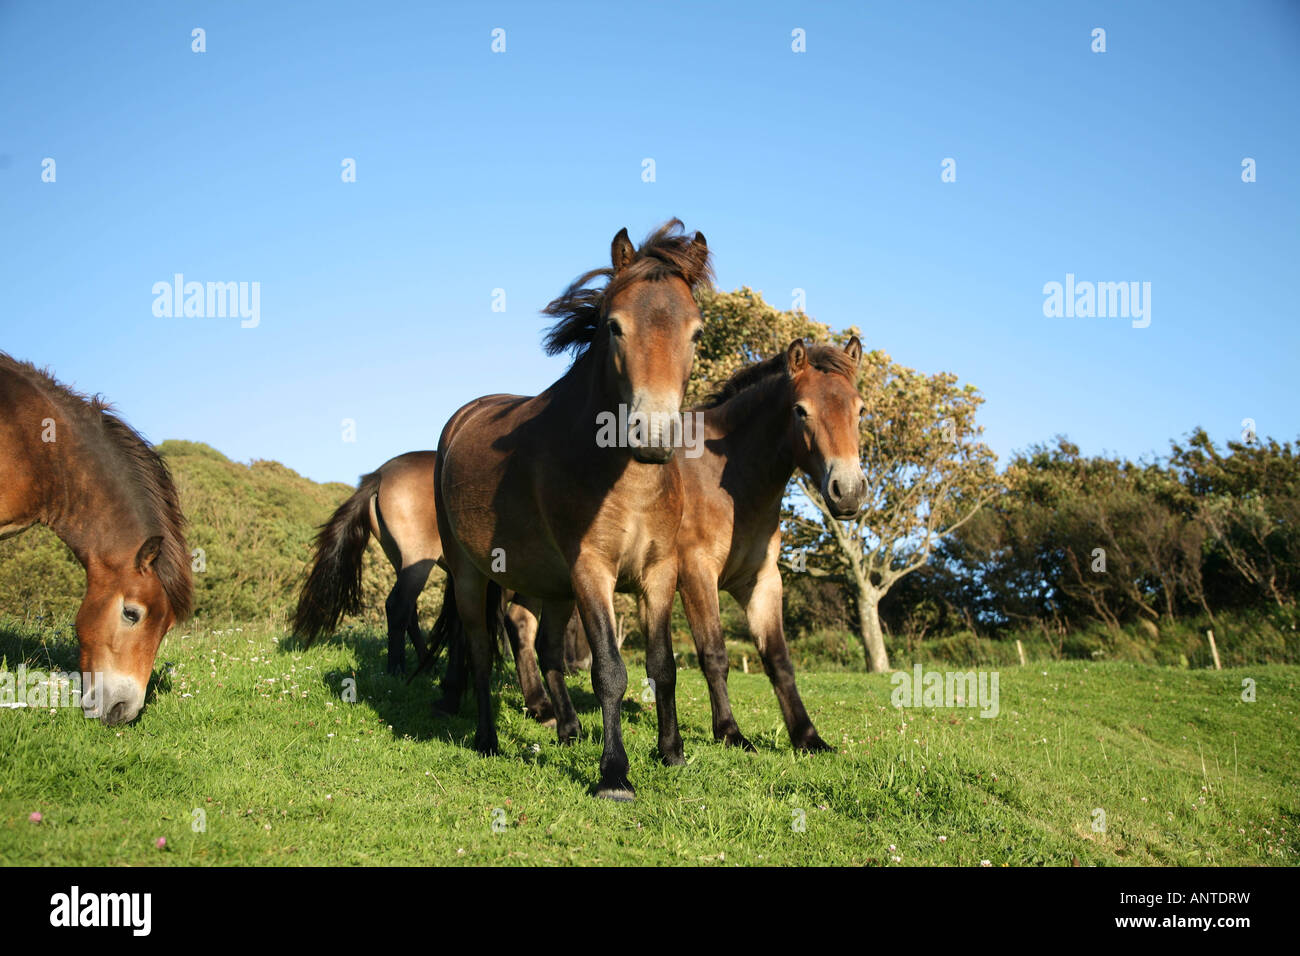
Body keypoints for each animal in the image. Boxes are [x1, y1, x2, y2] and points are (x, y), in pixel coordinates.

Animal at [290, 450, 586, 722]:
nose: (580, 662)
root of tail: (380, 475)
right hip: (417, 559)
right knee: (398, 605)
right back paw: (396, 669)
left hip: (402, 560)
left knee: (410, 611)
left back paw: (426, 663)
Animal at [433, 219, 712, 800]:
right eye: (614, 327)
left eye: (696, 333)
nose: (653, 435)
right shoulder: (592, 570)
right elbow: (609, 670)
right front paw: (614, 775)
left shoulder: (659, 572)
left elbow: (663, 666)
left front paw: (672, 754)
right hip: (472, 575)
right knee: (479, 650)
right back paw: (487, 739)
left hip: (552, 587)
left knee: (545, 648)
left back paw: (565, 729)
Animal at [439, 338, 867, 754]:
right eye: (800, 410)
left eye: (860, 409)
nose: (847, 491)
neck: (724, 482)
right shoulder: (696, 575)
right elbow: (715, 654)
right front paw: (730, 733)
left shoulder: (761, 581)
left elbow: (778, 659)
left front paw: (808, 737)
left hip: (550, 581)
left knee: (530, 633)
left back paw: (556, 719)